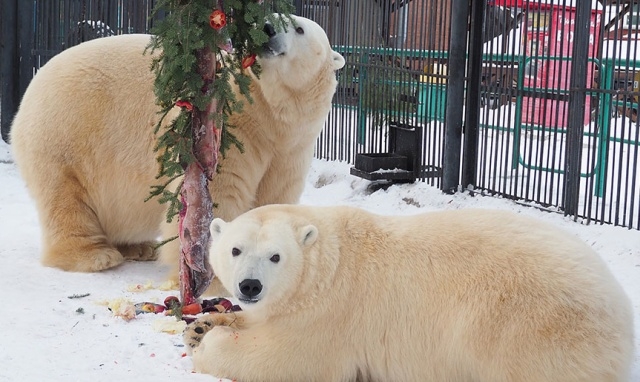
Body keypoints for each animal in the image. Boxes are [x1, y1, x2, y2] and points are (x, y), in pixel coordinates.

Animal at [10, 15, 344, 280]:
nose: (266, 28)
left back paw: (138, 247)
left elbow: (275, 196)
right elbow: (216, 193)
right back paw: (96, 256)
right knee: (65, 198)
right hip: (65, 135)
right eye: (269, 18)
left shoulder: (291, 148)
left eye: (299, 28)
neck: (268, 114)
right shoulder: (227, 130)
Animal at [185, 204, 636, 380]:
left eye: (276, 256)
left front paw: (211, 343)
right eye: (235, 249)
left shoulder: (331, 311)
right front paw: (202, 325)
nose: (249, 285)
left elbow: (286, 358)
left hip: (523, 327)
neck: (327, 263)